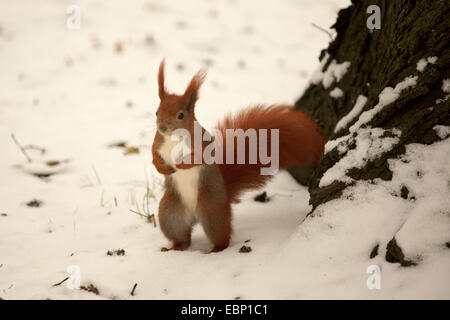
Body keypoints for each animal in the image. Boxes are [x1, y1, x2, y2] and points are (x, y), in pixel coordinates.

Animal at [151, 60, 324, 252]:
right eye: (157, 112)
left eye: (180, 115)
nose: (162, 127)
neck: (174, 138)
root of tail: (195, 217)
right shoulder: (158, 142)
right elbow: (153, 153)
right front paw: (161, 167)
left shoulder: (204, 144)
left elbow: (201, 157)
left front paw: (182, 164)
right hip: (171, 213)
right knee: (182, 237)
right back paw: (174, 248)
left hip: (212, 210)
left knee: (221, 235)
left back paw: (216, 249)